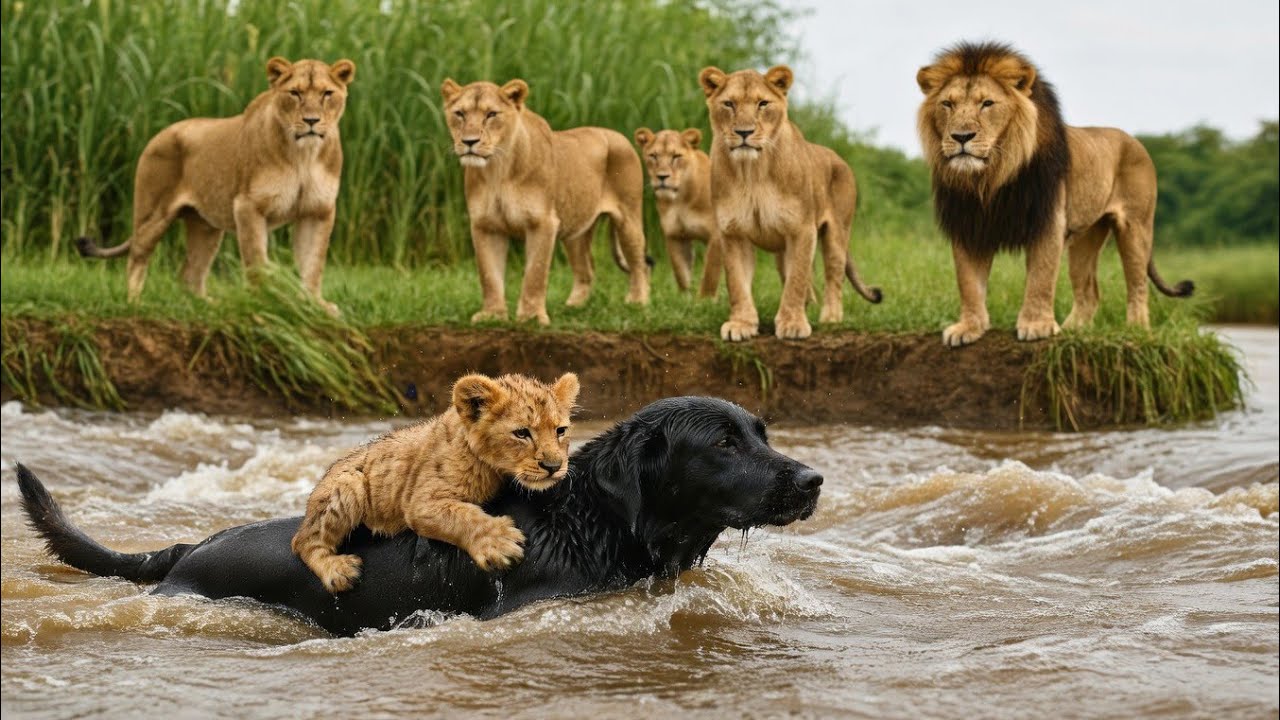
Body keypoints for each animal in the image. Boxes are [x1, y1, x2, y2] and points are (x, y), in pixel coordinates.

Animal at [75, 57, 356, 316]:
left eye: (327, 94)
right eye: (295, 93)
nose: (311, 120)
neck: (304, 156)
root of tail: (159, 134)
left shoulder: (318, 211)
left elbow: (313, 262)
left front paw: (315, 305)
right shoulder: (248, 205)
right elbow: (256, 259)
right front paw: (266, 302)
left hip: (205, 227)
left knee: (190, 275)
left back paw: (210, 306)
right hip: (153, 214)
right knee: (137, 256)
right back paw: (135, 303)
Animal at [291, 371, 580, 593]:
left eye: (560, 430)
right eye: (521, 433)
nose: (553, 467)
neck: (494, 468)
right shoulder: (419, 502)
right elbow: (461, 516)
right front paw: (499, 543)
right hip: (348, 483)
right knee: (302, 541)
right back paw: (338, 570)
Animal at [440, 78, 650, 325]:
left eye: (491, 114)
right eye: (460, 114)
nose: (469, 141)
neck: (498, 169)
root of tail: (620, 136)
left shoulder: (543, 223)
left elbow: (535, 273)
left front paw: (531, 317)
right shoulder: (485, 225)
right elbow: (488, 274)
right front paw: (492, 315)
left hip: (629, 218)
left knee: (640, 264)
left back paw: (638, 302)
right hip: (575, 232)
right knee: (586, 270)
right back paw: (573, 307)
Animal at [698, 65, 882, 341]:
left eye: (762, 103)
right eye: (729, 104)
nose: (744, 132)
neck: (753, 172)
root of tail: (839, 158)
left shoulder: (802, 230)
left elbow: (796, 279)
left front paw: (793, 323)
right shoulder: (732, 232)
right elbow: (737, 283)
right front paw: (741, 324)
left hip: (837, 234)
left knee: (833, 275)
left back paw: (830, 317)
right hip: (782, 250)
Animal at [916, 41, 1194, 347]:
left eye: (987, 103)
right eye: (947, 104)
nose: (961, 137)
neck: (990, 179)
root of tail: (1135, 141)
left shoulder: (1047, 222)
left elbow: (1041, 276)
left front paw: (1036, 326)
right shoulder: (969, 226)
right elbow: (968, 283)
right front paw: (968, 328)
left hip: (1135, 227)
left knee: (1138, 285)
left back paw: (1136, 331)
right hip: (1086, 236)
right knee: (1089, 292)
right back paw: (1071, 330)